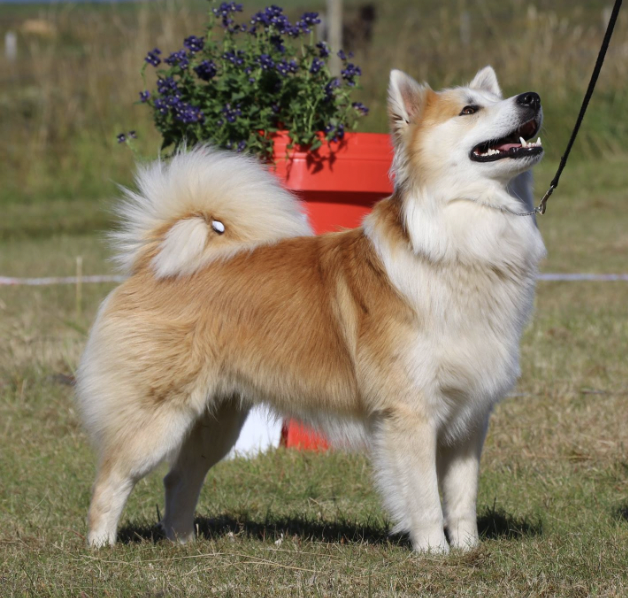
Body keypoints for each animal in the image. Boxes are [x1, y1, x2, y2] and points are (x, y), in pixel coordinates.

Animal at [77, 65, 544, 552]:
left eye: (498, 99)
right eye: (469, 110)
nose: (531, 98)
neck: (459, 242)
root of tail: (152, 264)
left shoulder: (470, 417)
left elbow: (461, 496)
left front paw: (468, 551)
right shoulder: (410, 413)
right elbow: (425, 498)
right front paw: (435, 552)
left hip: (218, 418)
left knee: (180, 478)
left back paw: (183, 542)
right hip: (157, 415)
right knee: (111, 480)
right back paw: (101, 547)